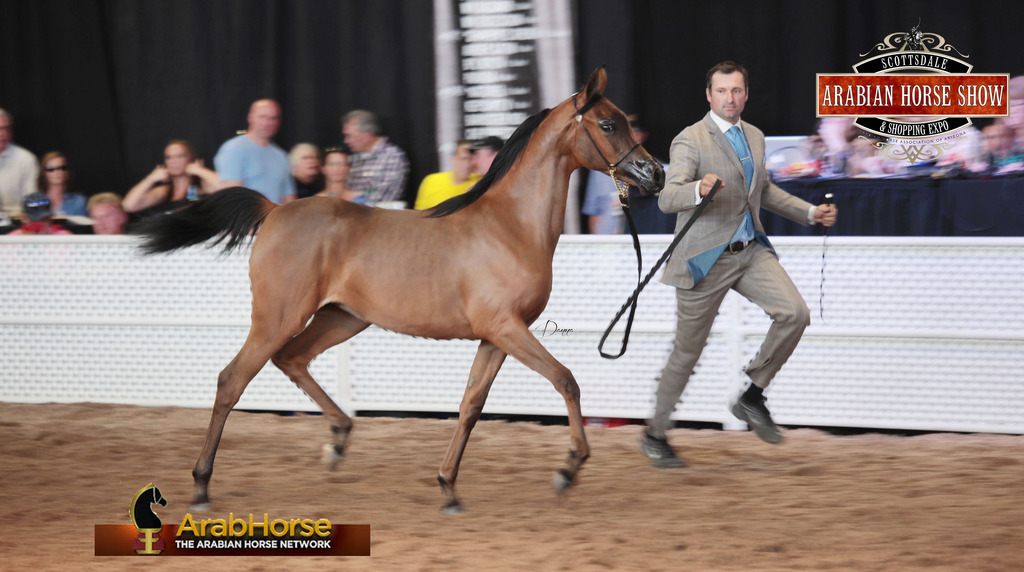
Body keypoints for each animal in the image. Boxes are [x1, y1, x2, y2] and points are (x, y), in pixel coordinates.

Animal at [138, 67, 665, 513]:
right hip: (278, 316)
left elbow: (471, 406)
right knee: (232, 379)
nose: (654, 174)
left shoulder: (495, 337)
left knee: (292, 359)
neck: (510, 227)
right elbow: (566, 380)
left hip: (341, 318)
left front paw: (448, 487)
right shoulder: (506, 327)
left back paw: (338, 439)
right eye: (608, 124)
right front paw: (567, 470)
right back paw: (202, 485)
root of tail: (274, 209)